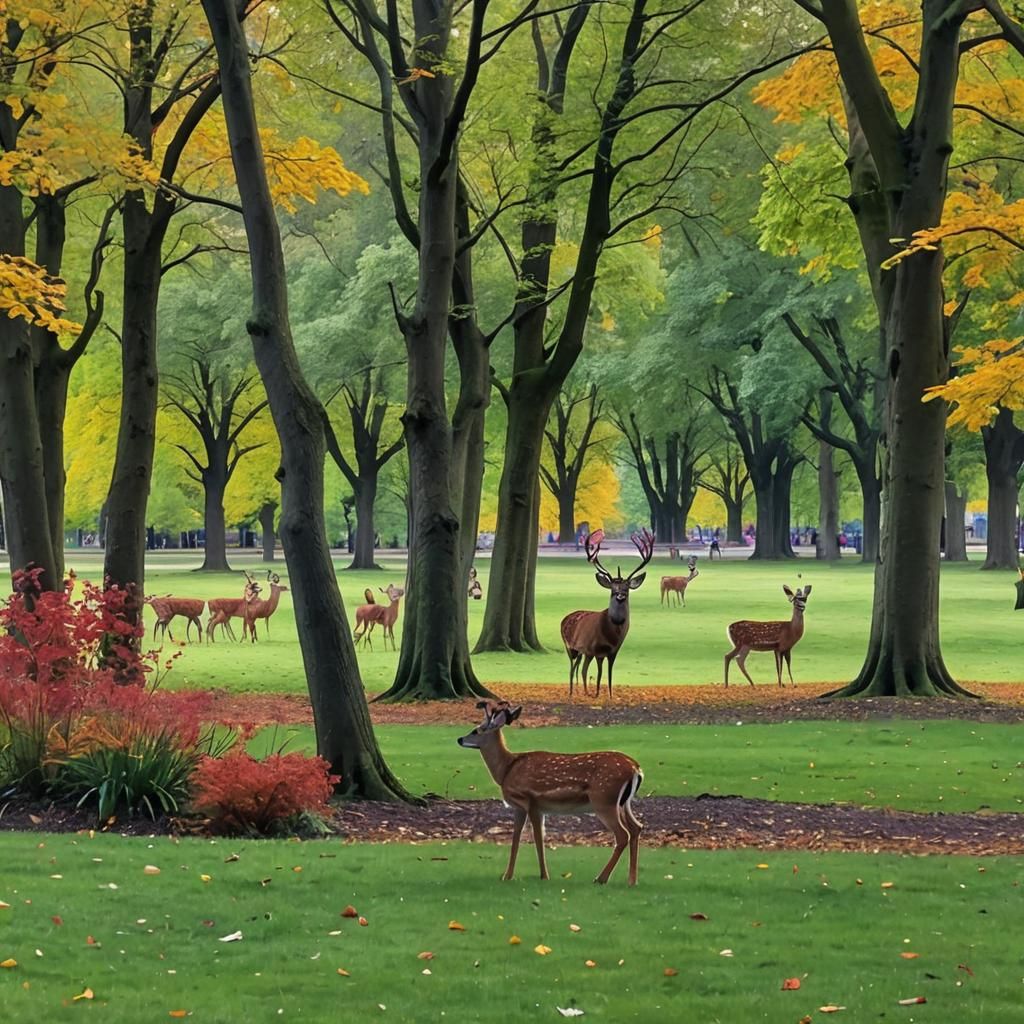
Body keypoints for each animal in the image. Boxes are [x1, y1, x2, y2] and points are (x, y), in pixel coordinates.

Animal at [457, 700, 643, 886]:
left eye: (476, 730)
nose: (459, 739)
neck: (506, 770)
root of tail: (636, 769)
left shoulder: (530, 800)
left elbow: (537, 837)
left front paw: (543, 876)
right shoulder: (522, 807)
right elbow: (517, 837)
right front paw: (508, 876)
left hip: (604, 799)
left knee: (623, 835)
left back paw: (601, 878)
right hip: (622, 803)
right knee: (636, 827)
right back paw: (632, 880)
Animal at [560, 528, 654, 698]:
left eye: (626, 588)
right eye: (613, 589)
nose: (620, 596)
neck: (611, 635)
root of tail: (564, 618)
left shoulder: (613, 652)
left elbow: (609, 674)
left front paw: (609, 695)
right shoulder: (595, 649)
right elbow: (597, 673)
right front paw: (595, 695)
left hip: (581, 651)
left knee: (578, 669)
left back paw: (578, 691)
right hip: (570, 646)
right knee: (575, 668)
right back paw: (573, 692)